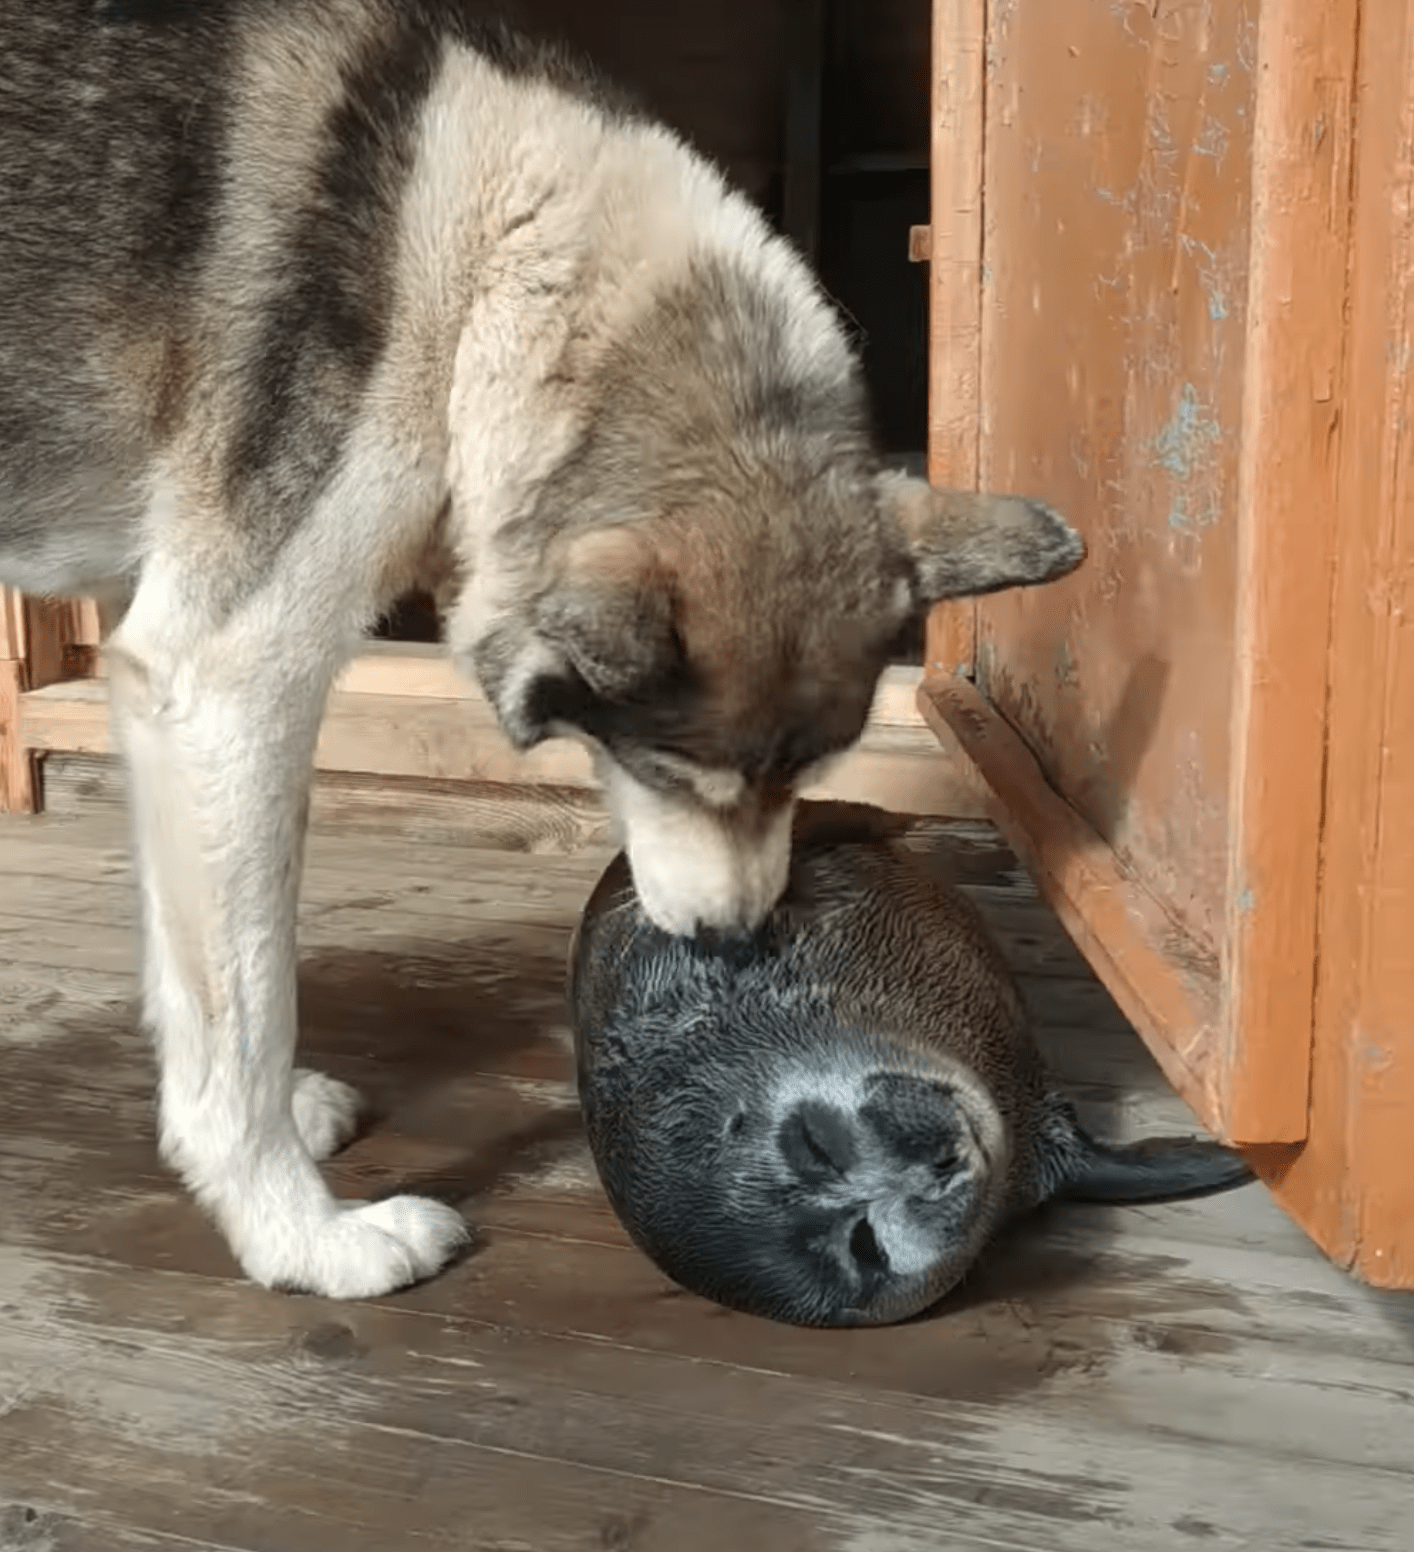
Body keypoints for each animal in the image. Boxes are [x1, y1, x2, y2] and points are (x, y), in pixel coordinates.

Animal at [0, 3, 1086, 1297]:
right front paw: (298, 1231)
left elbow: (197, 975)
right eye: (671, 773)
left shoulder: (157, 679)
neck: (489, 263)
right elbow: (248, 999)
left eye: (798, 780)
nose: (737, 943)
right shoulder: (225, 681)